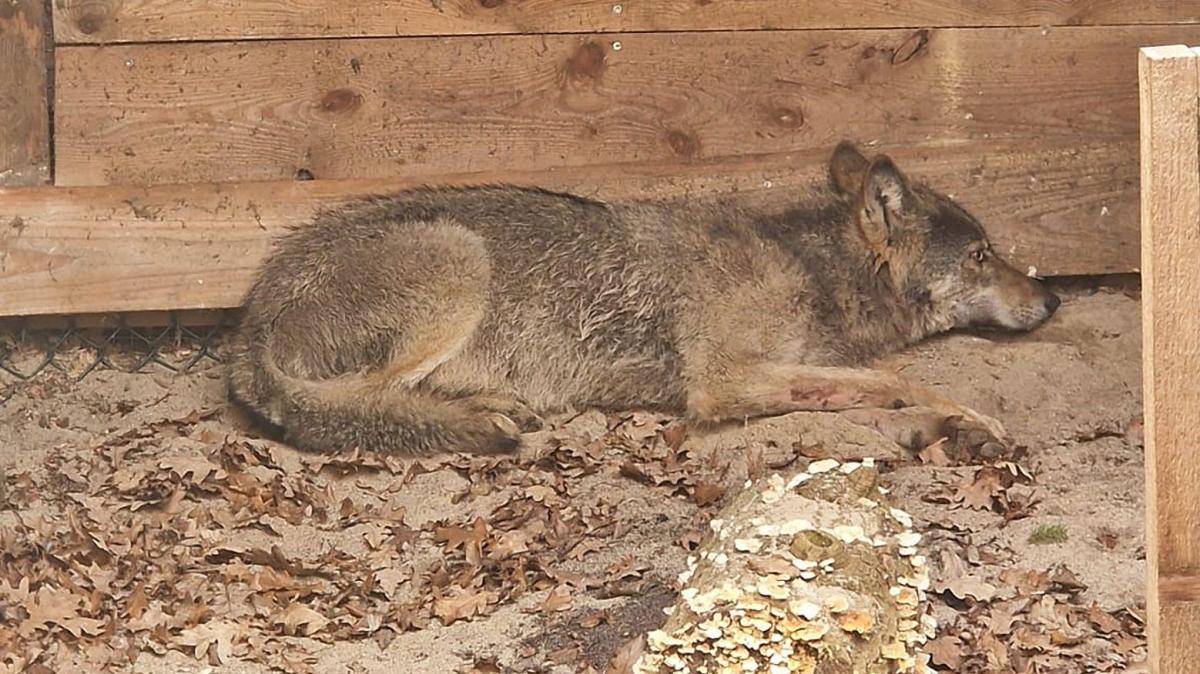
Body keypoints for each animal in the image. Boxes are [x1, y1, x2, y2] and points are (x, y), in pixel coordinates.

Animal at [226, 141, 1059, 461]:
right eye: (983, 256)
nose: (1052, 297)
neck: (809, 267)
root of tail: (248, 323)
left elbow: (867, 388)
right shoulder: (722, 383)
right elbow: (897, 380)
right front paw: (970, 420)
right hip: (459, 259)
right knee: (351, 407)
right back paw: (481, 418)